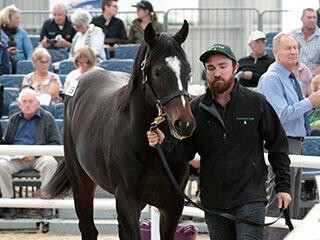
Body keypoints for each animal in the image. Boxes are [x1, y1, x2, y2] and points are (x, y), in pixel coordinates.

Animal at [43, 21, 195, 240]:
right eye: (157, 72)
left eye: (188, 71)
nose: (184, 123)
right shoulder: (127, 201)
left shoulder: (173, 205)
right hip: (81, 182)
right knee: (88, 229)